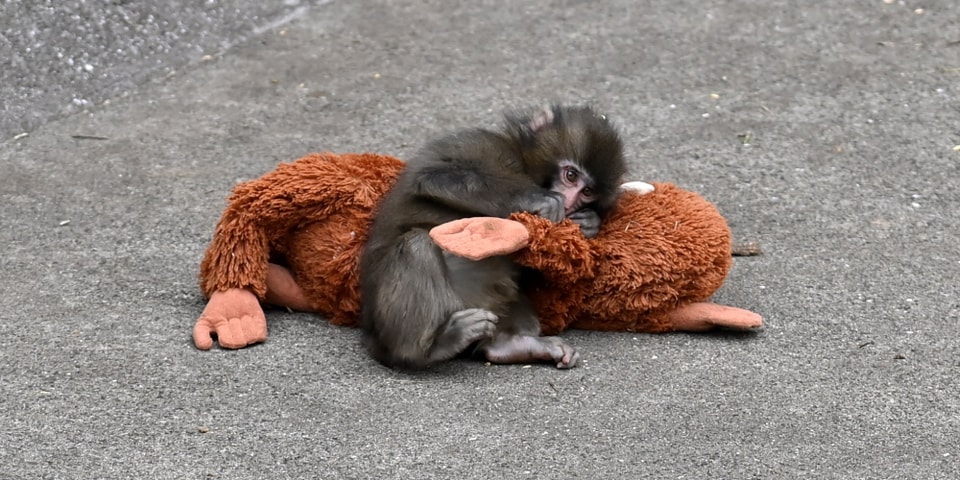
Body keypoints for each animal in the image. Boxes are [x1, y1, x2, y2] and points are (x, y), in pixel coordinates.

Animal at [358, 105, 627, 370]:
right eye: (570, 175)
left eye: (587, 192)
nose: (570, 203)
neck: (521, 162)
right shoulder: (480, 144)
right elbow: (434, 177)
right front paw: (539, 199)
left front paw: (590, 223)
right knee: (416, 245)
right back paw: (428, 349)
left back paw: (509, 346)